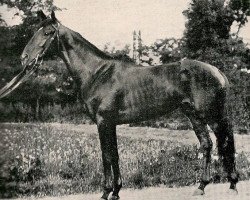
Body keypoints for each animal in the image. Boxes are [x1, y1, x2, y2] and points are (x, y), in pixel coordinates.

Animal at [0, 10, 238, 200]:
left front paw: (106, 192)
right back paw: (202, 186)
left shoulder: (103, 122)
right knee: (207, 144)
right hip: (194, 115)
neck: (97, 73)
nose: (24, 58)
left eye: (48, 33)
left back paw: (231, 184)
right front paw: (116, 191)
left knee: (224, 142)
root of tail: (216, 71)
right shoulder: (111, 123)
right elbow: (114, 154)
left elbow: (106, 155)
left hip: (211, 115)